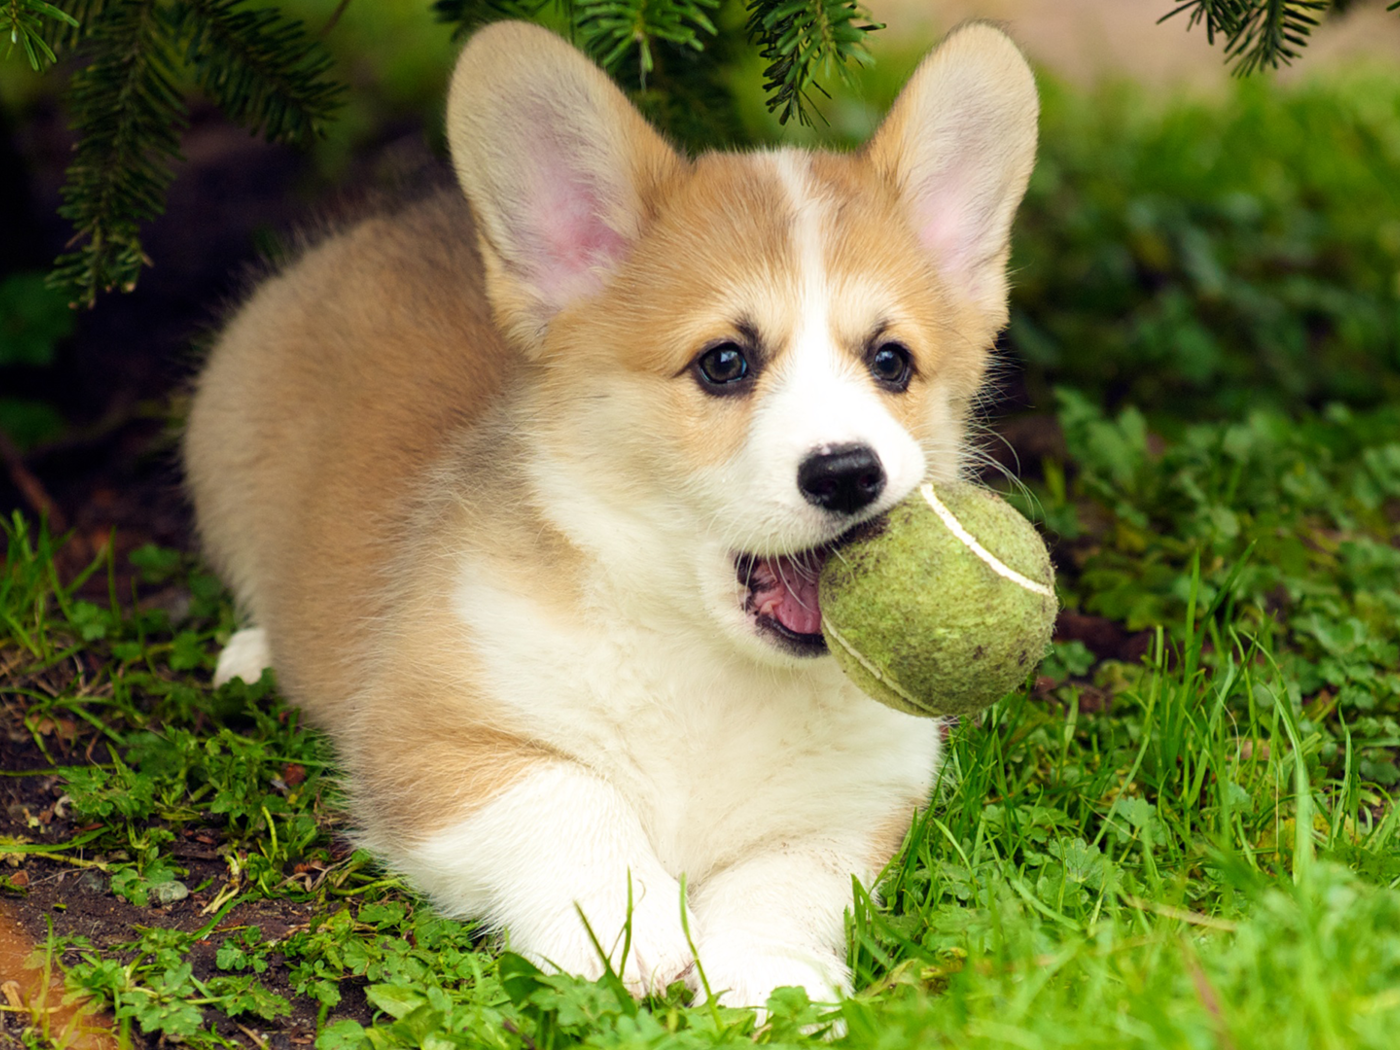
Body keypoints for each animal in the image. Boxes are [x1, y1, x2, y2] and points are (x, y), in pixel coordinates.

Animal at [183, 20, 1041, 1013]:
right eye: (723, 362)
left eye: (891, 361)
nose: (848, 473)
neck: (713, 668)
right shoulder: (425, 737)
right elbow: (570, 796)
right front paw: (626, 938)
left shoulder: (859, 805)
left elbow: (791, 878)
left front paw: (769, 980)